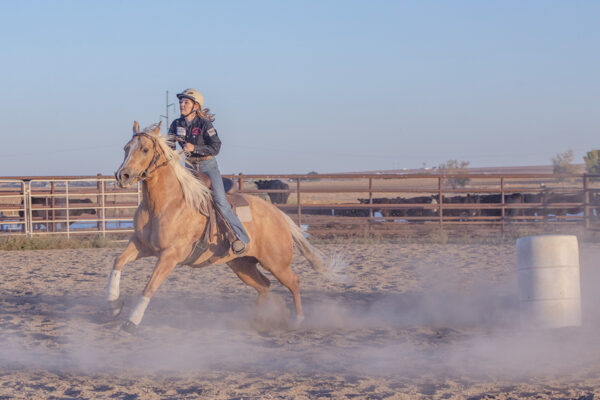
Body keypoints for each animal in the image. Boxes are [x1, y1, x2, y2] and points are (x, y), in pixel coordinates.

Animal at [105, 122, 326, 334]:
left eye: (144, 149)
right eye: (126, 148)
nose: (122, 175)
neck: (166, 203)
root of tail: (278, 214)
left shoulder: (170, 255)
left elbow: (149, 286)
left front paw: (131, 321)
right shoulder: (141, 244)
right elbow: (118, 261)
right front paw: (113, 305)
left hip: (276, 264)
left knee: (294, 282)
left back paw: (297, 320)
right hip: (242, 265)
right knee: (264, 286)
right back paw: (254, 320)